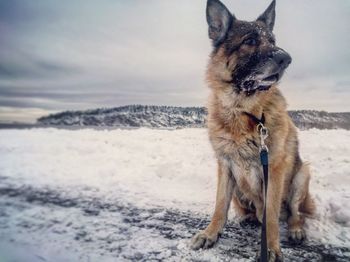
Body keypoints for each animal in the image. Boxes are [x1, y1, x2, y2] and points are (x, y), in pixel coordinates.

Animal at [190, 0, 316, 260]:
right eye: (249, 41)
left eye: (273, 41)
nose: (286, 58)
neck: (244, 111)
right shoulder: (225, 165)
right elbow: (220, 206)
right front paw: (210, 233)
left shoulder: (274, 169)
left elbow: (271, 216)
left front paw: (271, 248)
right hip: (240, 189)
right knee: (252, 210)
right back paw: (248, 218)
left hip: (302, 174)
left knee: (294, 213)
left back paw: (295, 229)